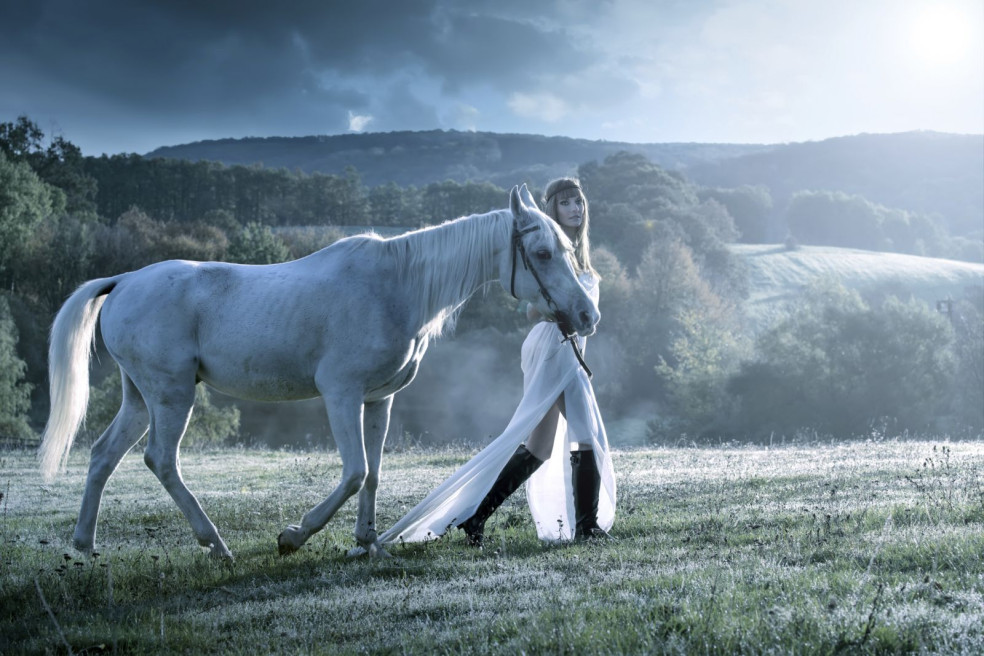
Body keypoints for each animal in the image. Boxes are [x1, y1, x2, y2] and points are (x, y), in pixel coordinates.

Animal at [38, 183, 596, 560]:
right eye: (543, 253)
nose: (587, 315)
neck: (396, 285)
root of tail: (125, 280)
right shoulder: (341, 395)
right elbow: (354, 472)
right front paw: (294, 535)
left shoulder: (378, 399)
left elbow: (374, 474)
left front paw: (367, 544)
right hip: (171, 394)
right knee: (161, 460)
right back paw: (214, 543)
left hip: (140, 397)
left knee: (103, 455)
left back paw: (83, 545)